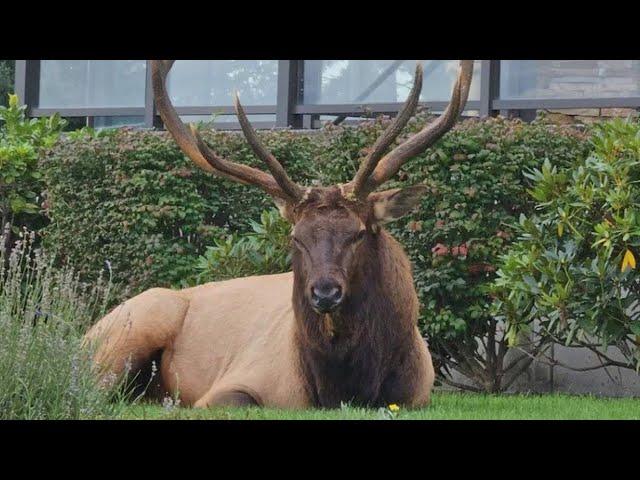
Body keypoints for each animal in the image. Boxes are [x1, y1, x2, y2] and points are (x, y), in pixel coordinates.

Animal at [85, 58, 472, 406]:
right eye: (296, 236)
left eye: (360, 232)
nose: (325, 292)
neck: (343, 388)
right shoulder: (230, 386)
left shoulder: (417, 395)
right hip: (135, 326)